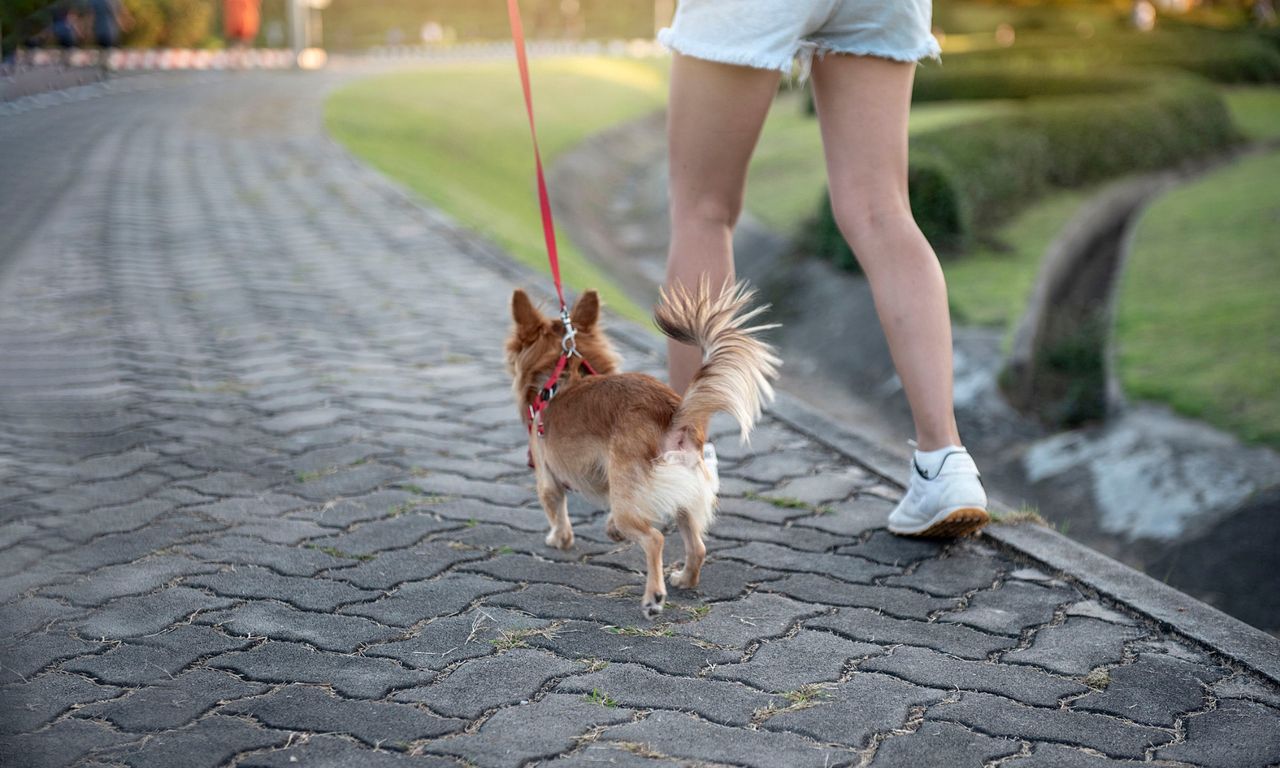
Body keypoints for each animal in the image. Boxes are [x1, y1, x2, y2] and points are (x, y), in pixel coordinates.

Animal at [504, 280, 773, 616]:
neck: (561, 376)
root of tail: (674, 414)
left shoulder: (547, 477)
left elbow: (557, 511)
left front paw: (558, 538)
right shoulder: (618, 486)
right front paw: (607, 530)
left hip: (635, 499)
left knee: (654, 539)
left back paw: (653, 598)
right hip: (683, 494)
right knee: (697, 546)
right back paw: (684, 579)